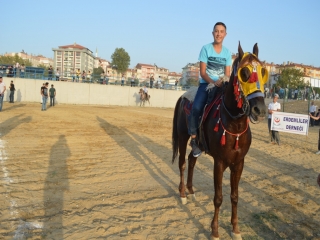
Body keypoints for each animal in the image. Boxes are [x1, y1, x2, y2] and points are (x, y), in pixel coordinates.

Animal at [172, 42, 268, 239]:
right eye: (244, 72)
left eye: (263, 71)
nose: (260, 110)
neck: (234, 124)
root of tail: (184, 96)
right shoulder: (219, 162)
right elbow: (218, 198)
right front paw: (215, 230)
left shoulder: (239, 163)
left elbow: (235, 197)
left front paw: (235, 229)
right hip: (183, 136)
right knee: (183, 163)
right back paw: (183, 194)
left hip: (197, 144)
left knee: (192, 160)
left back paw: (191, 191)